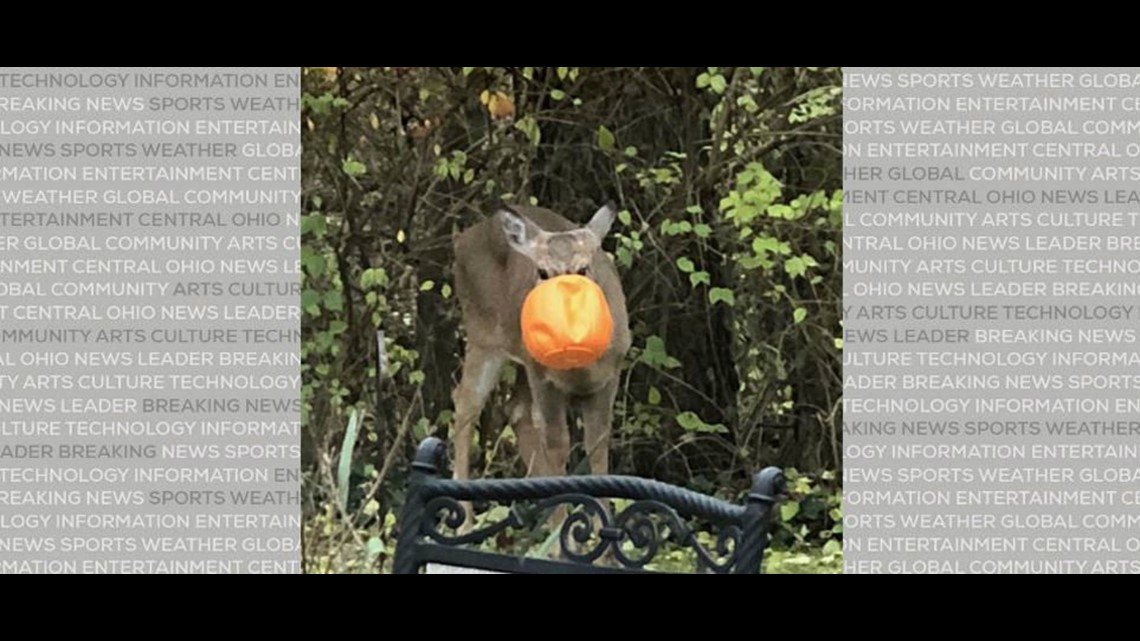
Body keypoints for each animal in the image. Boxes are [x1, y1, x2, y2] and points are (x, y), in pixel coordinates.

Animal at [450, 202, 631, 487]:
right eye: (543, 272)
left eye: (583, 269)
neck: (578, 369)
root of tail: (463, 239)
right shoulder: (543, 378)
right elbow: (558, 445)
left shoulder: (610, 375)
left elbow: (597, 446)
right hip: (483, 335)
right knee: (466, 402)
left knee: (516, 411)